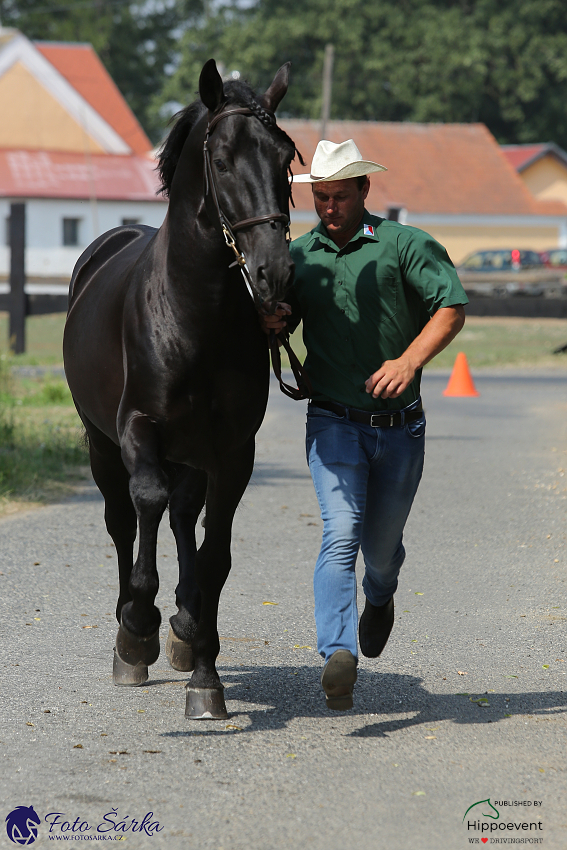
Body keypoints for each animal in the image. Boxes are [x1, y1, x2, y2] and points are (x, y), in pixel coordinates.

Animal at [63, 59, 300, 720]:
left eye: (285, 157)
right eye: (221, 159)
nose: (274, 272)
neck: (195, 315)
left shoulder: (233, 451)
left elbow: (214, 551)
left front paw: (204, 672)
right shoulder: (136, 428)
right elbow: (145, 503)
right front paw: (139, 626)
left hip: (193, 453)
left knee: (182, 519)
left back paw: (185, 627)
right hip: (101, 444)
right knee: (127, 520)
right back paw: (134, 632)